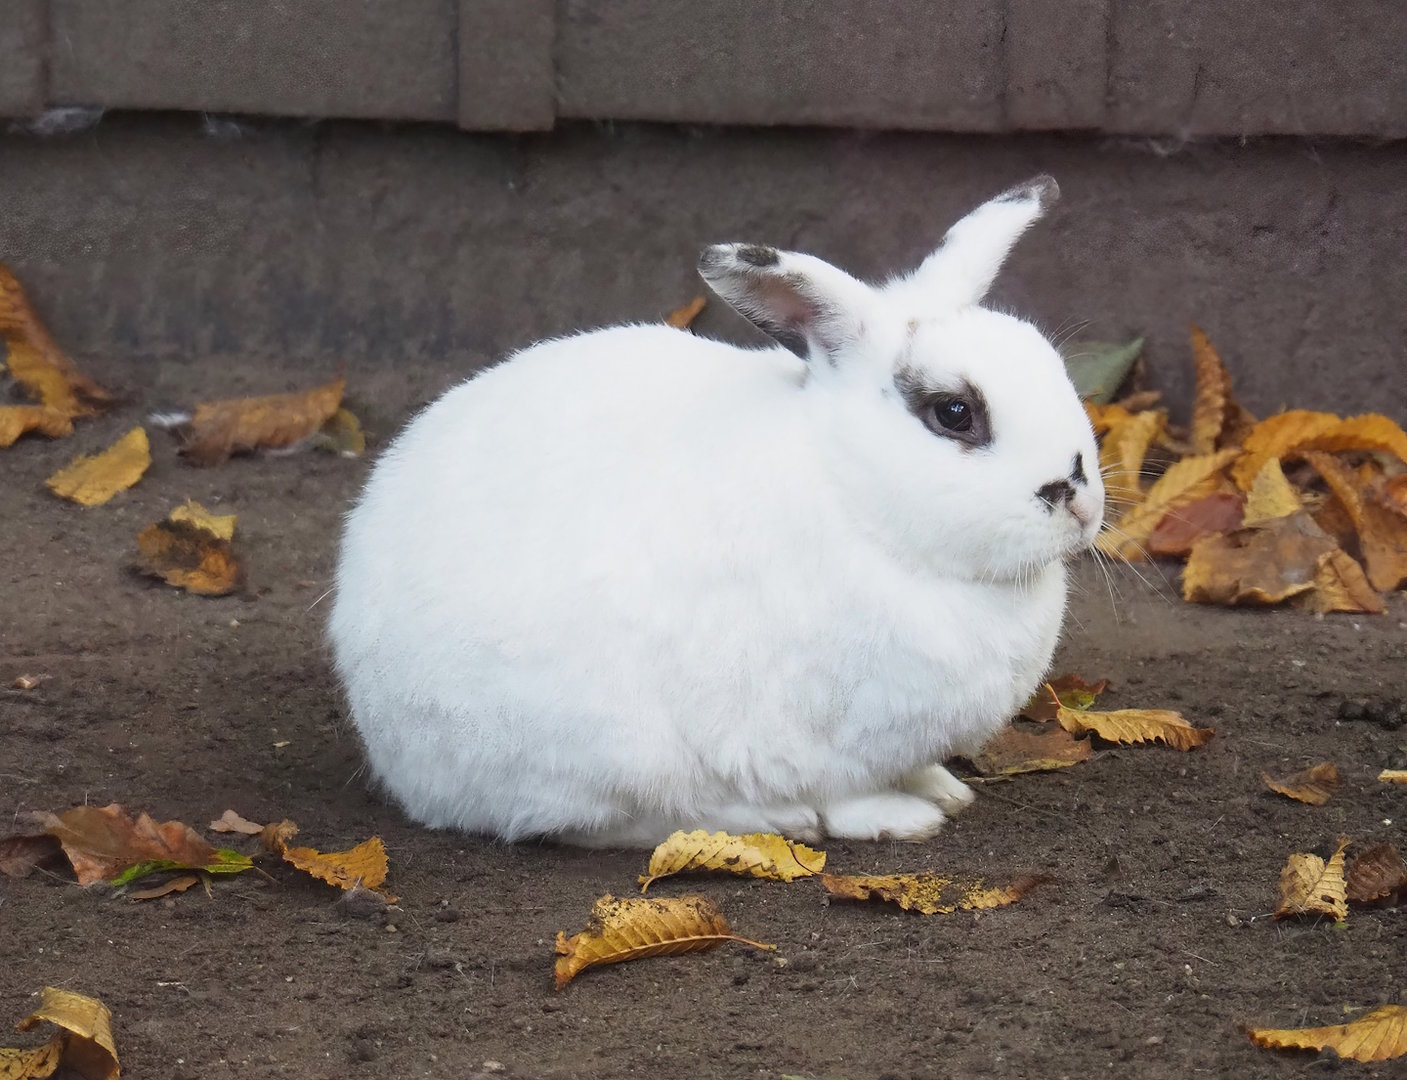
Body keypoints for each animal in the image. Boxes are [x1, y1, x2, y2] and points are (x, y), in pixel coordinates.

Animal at [328, 175, 1103, 847]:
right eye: (954, 413)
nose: (1079, 498)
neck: (853, 496)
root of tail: (393, 753)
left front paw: (944, 788)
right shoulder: (797, 736)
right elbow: (842, 792)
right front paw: (900, 818)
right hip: (599, 749)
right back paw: (778, 823)